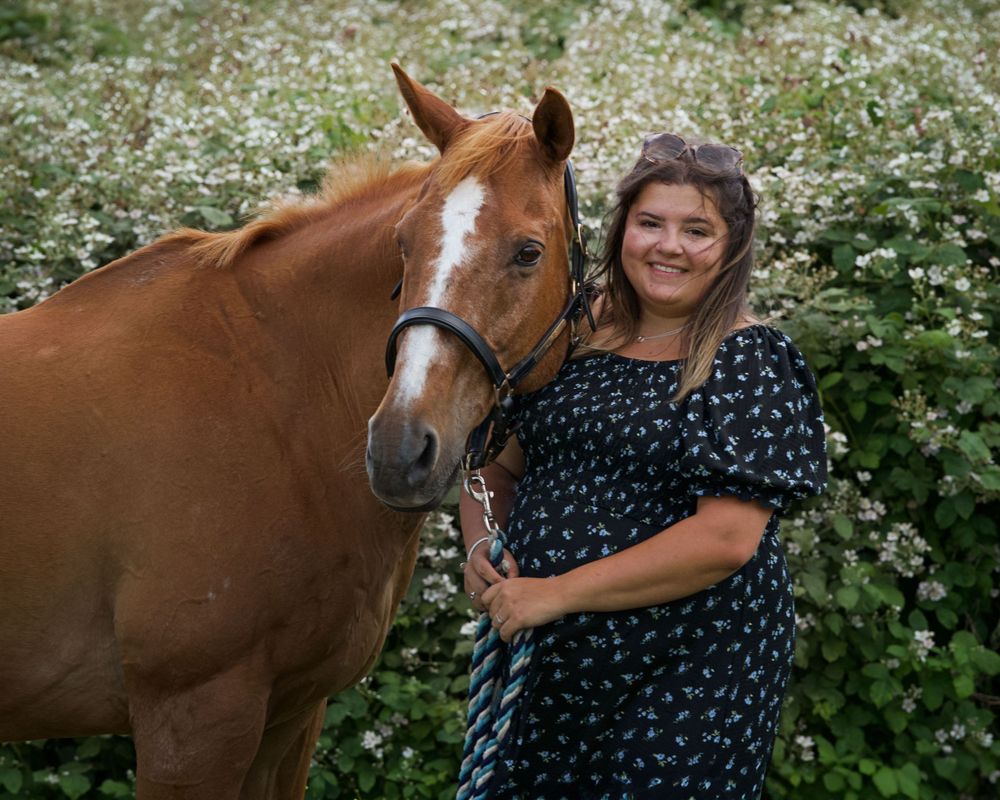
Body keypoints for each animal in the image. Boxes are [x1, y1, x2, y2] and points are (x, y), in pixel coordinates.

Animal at [0, 64, 578, 799]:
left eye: (528, 252)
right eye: (404, 244)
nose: (398, 451)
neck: (276, 398)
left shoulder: (291, 713)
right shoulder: (193, 722)